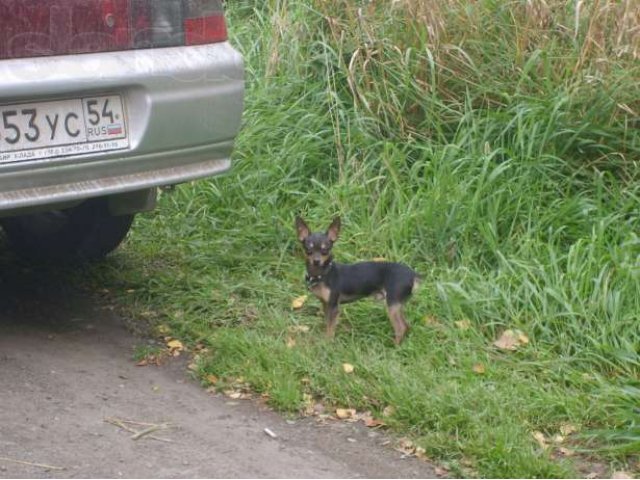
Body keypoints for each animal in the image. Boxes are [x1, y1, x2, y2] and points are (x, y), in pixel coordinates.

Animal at [296, 216, 420, 344]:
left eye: (325, 250)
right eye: (308, 250)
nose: (316, 261)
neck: (324, 274)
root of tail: (412, 274)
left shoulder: (334, 307)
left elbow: (331, 328)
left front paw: (328, 343)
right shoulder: (326, 304)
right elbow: (328, 323)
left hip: (392, 304)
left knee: (401, 327)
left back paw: (394, 345)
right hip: (398, 305)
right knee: (407, 325)